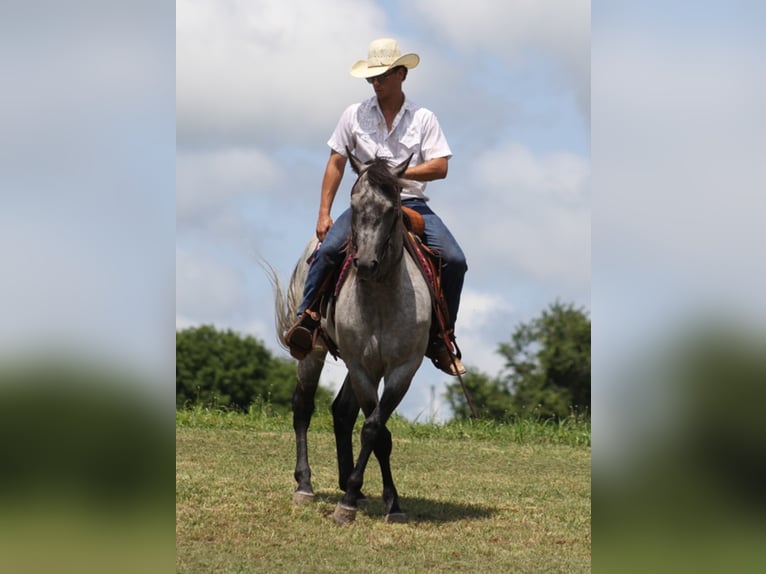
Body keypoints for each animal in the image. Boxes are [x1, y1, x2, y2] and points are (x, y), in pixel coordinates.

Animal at [272, 152, 432, 528]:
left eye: (391, 208)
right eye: (354, 204)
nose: (364, 263)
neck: (382, 296)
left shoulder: (402, 370)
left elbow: (375, 429)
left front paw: (389, 502)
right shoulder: (362, 366)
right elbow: (378, 432)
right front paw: (348, 505)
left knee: (342, 412)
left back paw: (350, 486)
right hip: (313, 352)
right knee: (303, 406)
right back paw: (305, 485)